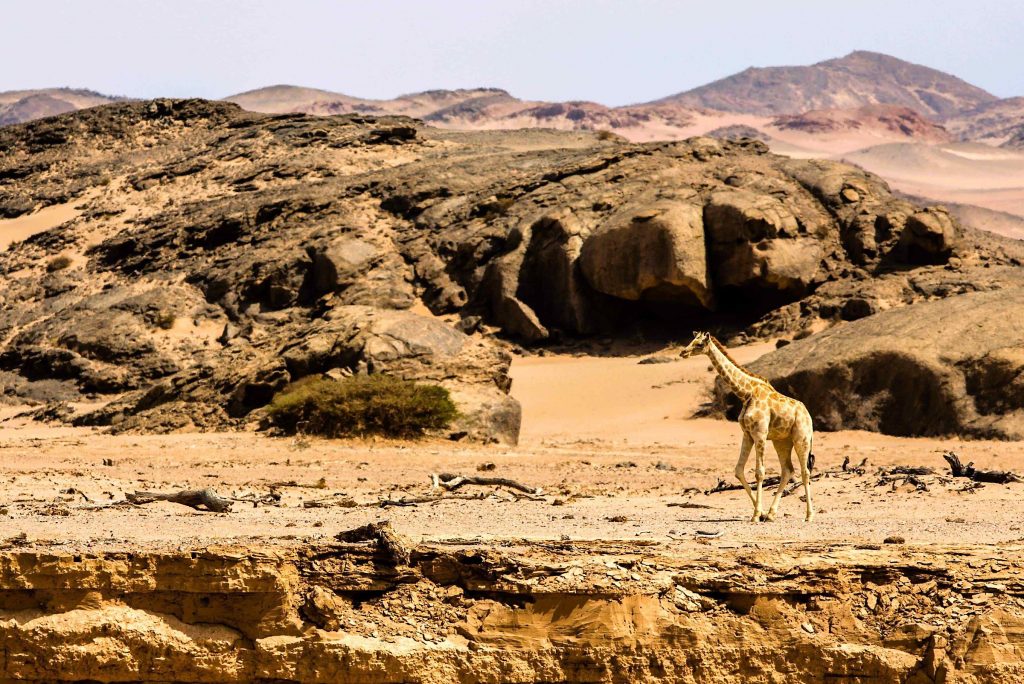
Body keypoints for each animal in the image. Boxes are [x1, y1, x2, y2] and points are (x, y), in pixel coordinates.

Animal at [680, 331, 814, 522]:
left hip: (802, 438)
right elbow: (738, 470)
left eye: (699, 344)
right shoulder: (747, 434)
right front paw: (762, 512)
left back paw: (809, 515)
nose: (683, 352)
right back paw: (771, 514)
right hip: (782, 441)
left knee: (805, 472)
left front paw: (756, 514)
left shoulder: (760, 433)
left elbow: (759, 472)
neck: (746, 393)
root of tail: (808, 415)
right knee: (788, 470)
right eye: (692, 340)